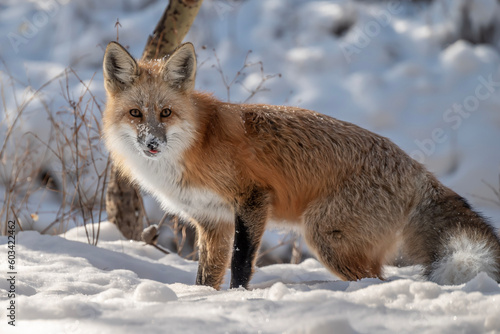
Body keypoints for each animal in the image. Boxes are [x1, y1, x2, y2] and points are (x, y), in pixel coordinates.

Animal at [102, 41, 500, 290]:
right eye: (136, 114)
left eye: (166, 113)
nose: (152, 144)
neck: (196, 144)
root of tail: (416, 169)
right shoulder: (212, 221)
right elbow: (207, 276)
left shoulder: (253, 198)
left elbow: (241, 264)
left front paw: (237, 298)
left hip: (325, 237)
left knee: (375, 279)